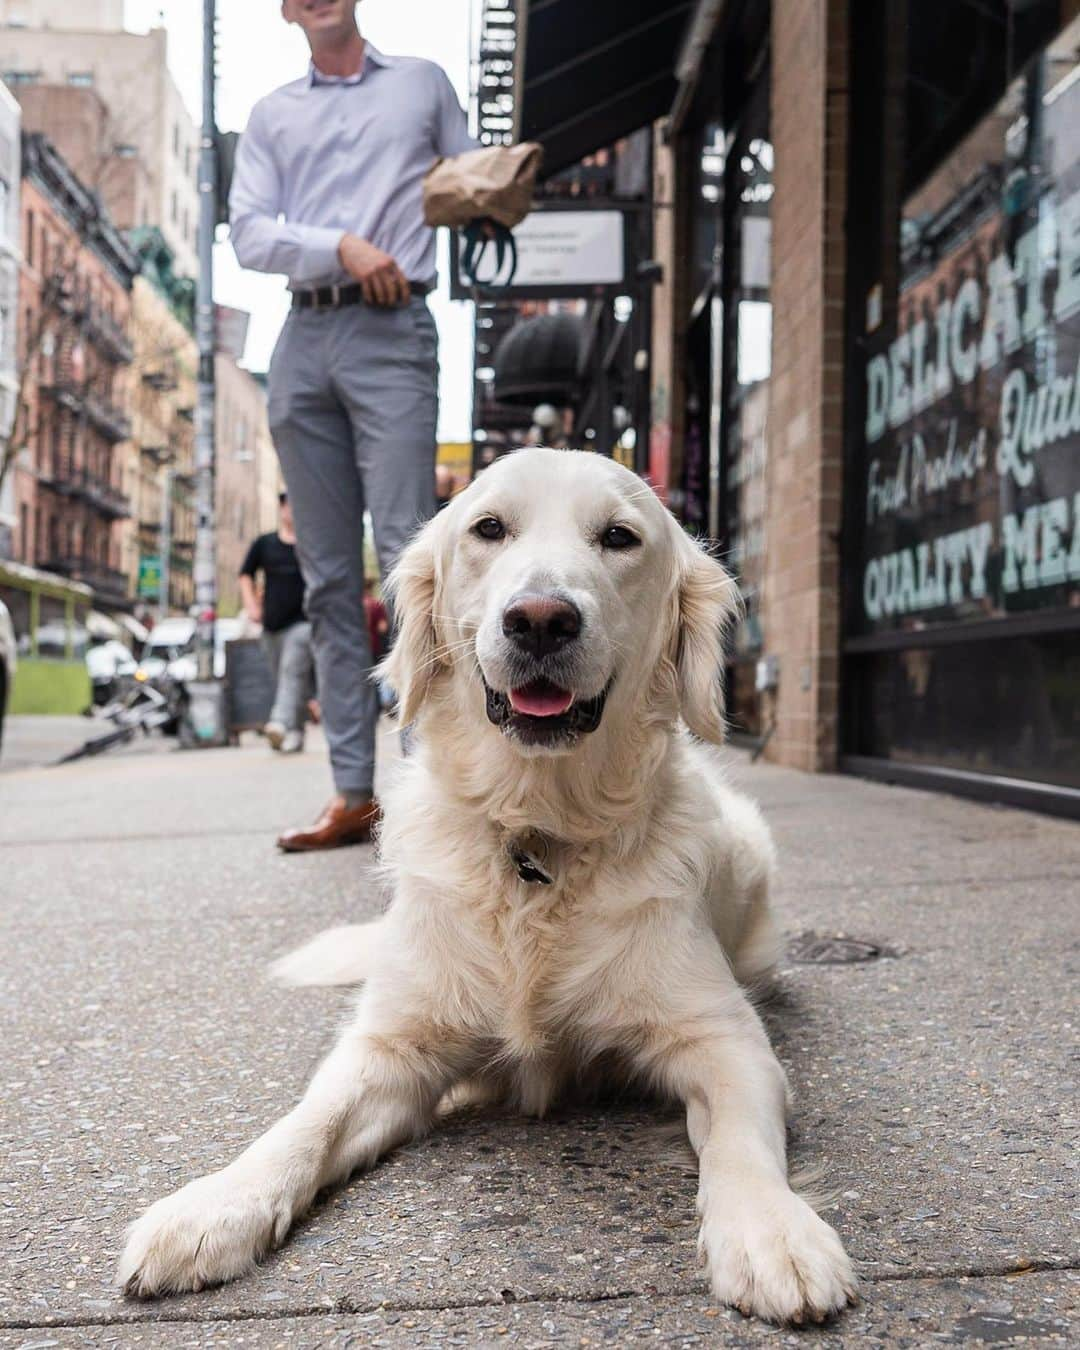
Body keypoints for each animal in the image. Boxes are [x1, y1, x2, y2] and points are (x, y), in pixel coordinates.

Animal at [118, 448, 858, 1323]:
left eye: (619, 537)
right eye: (489, 528)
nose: (540, 619)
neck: (534, 834)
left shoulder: (724, 1038)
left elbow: (743, 1140)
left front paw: (772, 1231)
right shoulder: (391, 1044)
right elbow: (307, 1120)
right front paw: (214, 1206)